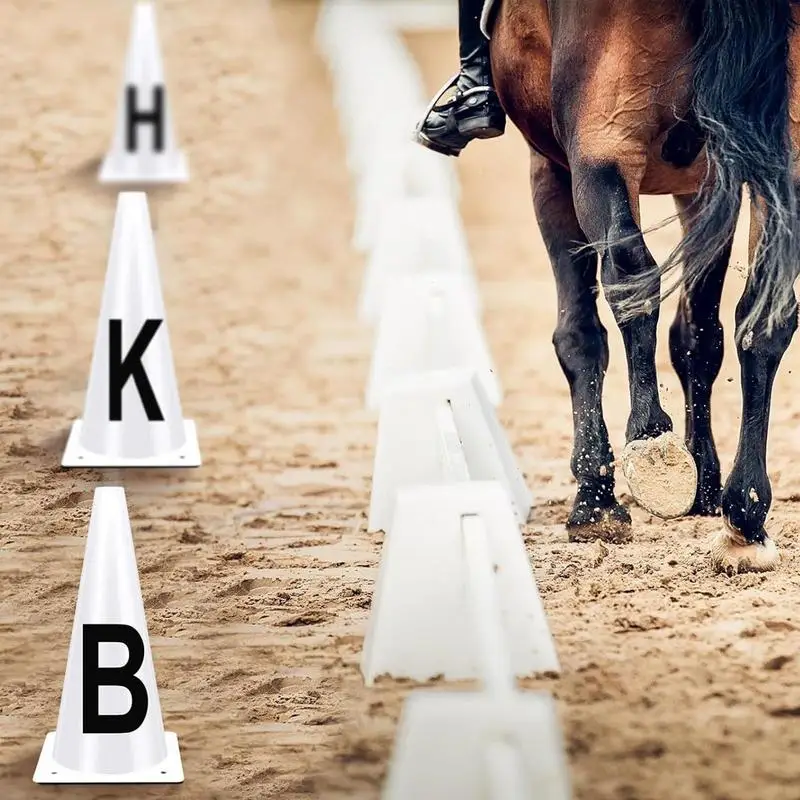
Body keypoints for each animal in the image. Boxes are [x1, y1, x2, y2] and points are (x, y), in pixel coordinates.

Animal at [488, 1, 800, 576]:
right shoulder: (707, 183)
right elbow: (699, 337)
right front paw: (705, 486)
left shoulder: (551, 166)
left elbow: (580, 334)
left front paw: (595, 499)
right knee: (765, 315)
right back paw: (744, 517)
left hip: (601, 141)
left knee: (629, 274)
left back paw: (652, 448)